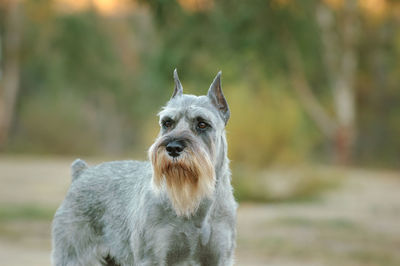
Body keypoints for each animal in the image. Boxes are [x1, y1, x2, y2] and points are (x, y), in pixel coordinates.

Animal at [51, 70, 236, 266]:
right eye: (167, 122)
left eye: (202, 123)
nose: (173, 148)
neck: (193, 205)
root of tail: (81, 173)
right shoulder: (152, 257)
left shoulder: (220, 257)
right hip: (72, 255)